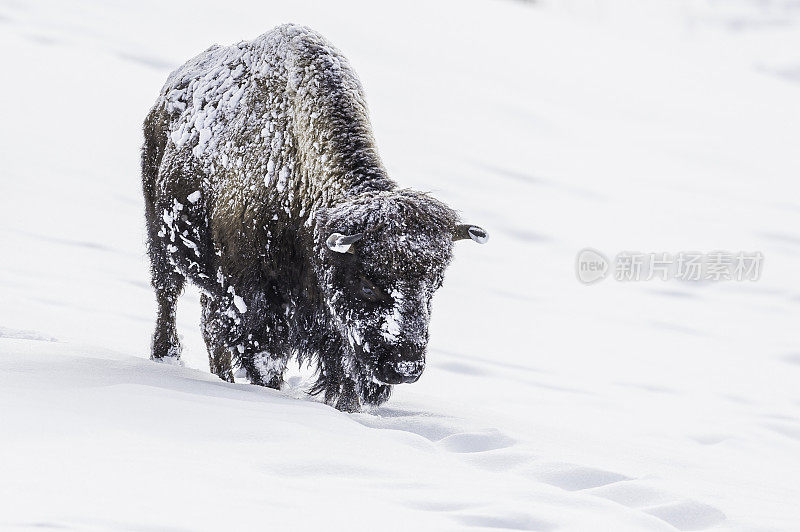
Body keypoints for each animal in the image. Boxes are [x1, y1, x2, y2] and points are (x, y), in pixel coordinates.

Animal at [144, 23, 488, 412]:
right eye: (367, 283)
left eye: (435, 285)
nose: (404, 367)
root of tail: (168, 92)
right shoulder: (259, 306)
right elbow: (268, 363)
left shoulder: (333, 330)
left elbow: (343, 377)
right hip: (160, 238)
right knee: (168, 296)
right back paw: (166, 356)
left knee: (209, 323)